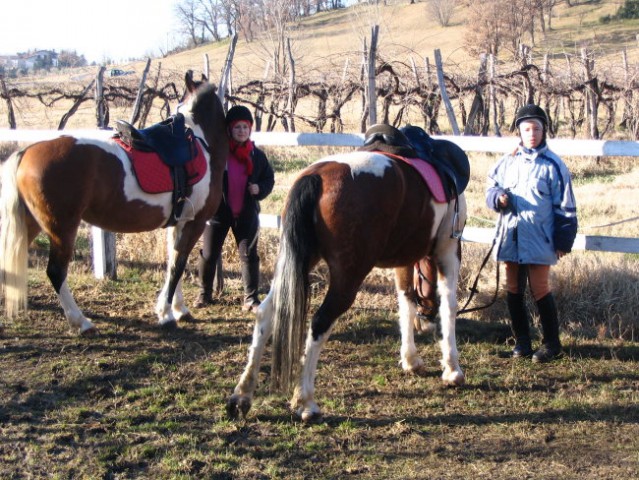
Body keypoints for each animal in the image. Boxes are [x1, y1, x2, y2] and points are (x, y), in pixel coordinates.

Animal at [0, 71, 228, 334]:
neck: (200, 143)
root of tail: (26, 152)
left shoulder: (179, 223)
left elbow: (174, 263)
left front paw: (179, 309)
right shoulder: (195, 223)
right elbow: (177, 266)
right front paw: (166, 314)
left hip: (31, 225)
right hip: (62, 228)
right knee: (56, 272)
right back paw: (81, 322)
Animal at [228, 125, 468, 422]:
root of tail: (316, 177)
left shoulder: (404, 258)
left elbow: (406, 302)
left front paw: (411, 360)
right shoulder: (448, 250)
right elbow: (449, 306)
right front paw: (452, 369)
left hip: (296, 262)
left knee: (266, 312)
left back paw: (242, 395)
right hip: (348, 277)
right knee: (319, 322)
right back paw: (306, 402)